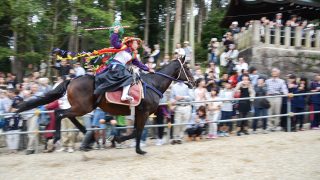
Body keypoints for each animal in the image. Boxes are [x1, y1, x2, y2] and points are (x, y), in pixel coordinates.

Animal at [16, 56, 195, 155]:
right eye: (186, 67)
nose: (194, 82)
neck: (153, 84)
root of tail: (72, 80)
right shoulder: (143, 112)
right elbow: (137, 131)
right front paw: (131, 145)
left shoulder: (138, 113)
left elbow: (135, 131)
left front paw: (123, 141)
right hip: (83, 107)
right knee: (60, 113)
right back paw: (59, 137)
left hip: (83, 108)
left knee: (68, 116)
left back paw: (86, 134)